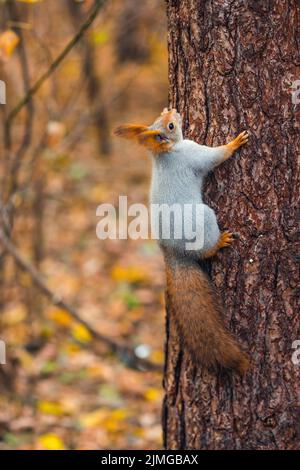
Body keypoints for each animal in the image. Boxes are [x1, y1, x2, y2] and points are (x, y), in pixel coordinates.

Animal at [115, 107, 251, 374]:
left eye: (163, 117)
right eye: (169, 126)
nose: (173, 110)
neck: (165, 153)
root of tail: (171, 252)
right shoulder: (193, 154)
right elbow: (215, 155)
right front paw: (234, 143)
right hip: (204, 220)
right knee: (206, 249)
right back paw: (219, 242)